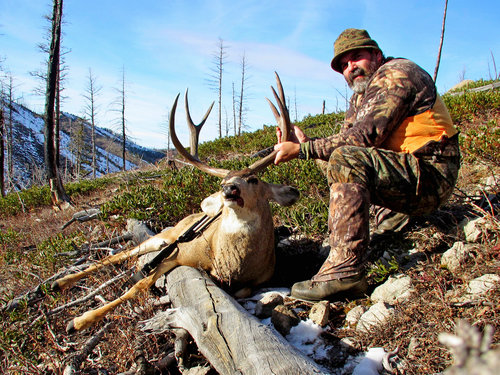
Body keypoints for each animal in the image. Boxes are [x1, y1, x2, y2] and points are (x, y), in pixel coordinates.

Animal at [52, 72, 298, 332]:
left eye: (253, 179)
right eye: (224, 180)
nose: (228, 189)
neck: (234, 264)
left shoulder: (259, 279)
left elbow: (242, 290)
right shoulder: (181, 253)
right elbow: (139, 284)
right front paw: (79, 321)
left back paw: (58, 284)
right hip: (167, 235)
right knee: (122, 253)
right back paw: (60, 283)